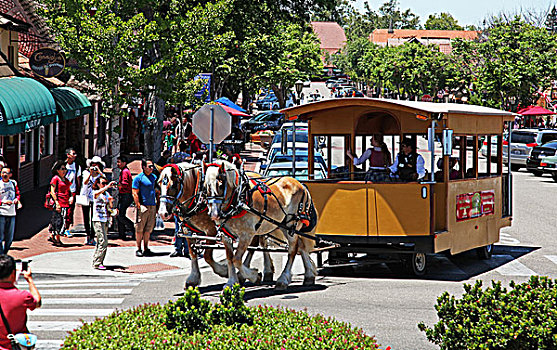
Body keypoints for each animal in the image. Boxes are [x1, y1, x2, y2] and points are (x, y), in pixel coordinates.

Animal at [203, 159, 318, 290]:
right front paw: (231, 282)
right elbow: (229, 259)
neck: (240, 197)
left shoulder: (246, 235)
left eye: (221, 185)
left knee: (292, 250)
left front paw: (253, 276)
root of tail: (301, 184)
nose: (214, 214)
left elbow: (236, 260)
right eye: (205, 187)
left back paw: (283, 279)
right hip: (284, 226)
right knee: (301, 246)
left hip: (292, 225)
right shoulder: (225, 235)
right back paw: (309, 275)